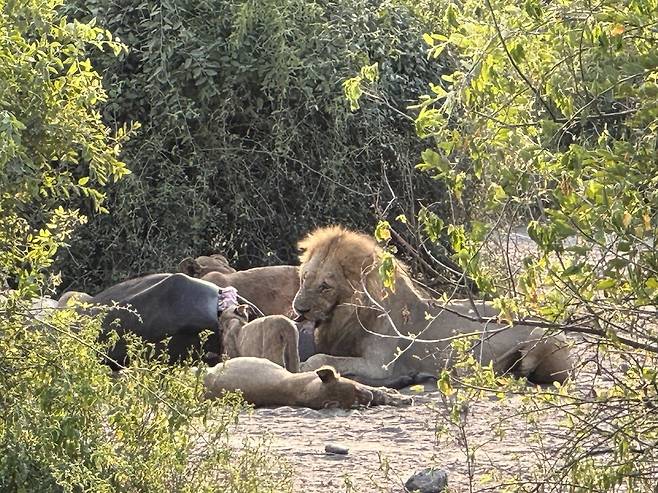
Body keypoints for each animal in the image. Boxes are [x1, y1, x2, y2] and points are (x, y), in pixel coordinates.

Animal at [294, 225, 572, 386]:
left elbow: (319, 358)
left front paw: (304, 367)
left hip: (541, 340)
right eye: (304, 277)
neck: (346, 315)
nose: (298, 309)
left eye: (325, 286)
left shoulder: (379, 365)